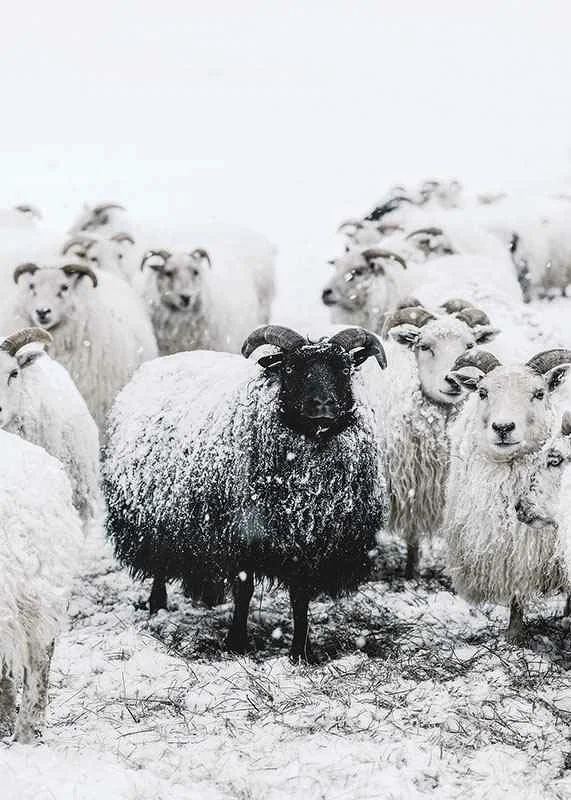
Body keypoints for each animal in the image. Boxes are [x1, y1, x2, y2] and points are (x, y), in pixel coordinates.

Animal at [103, 325, 389, 661]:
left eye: (344, 369)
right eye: (290, 369)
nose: (324, 405)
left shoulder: (309, 544)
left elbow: (300, 596)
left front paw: (301, 652)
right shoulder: (240, 536)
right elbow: (244, 590)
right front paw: (236, 642)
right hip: (156, 517)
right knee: (159, 565)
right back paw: (157, 606)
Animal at [379, 301, 499, 577]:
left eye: (470, 346)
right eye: (424, 346)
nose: (452, 380)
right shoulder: (411, 487)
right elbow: (412, 536)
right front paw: (411, 572)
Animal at [443, 348, 571, 640]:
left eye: (539, 393)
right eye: (482, 392)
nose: (503, 427)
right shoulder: (510, 548)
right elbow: (516, 591)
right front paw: (514, 634)